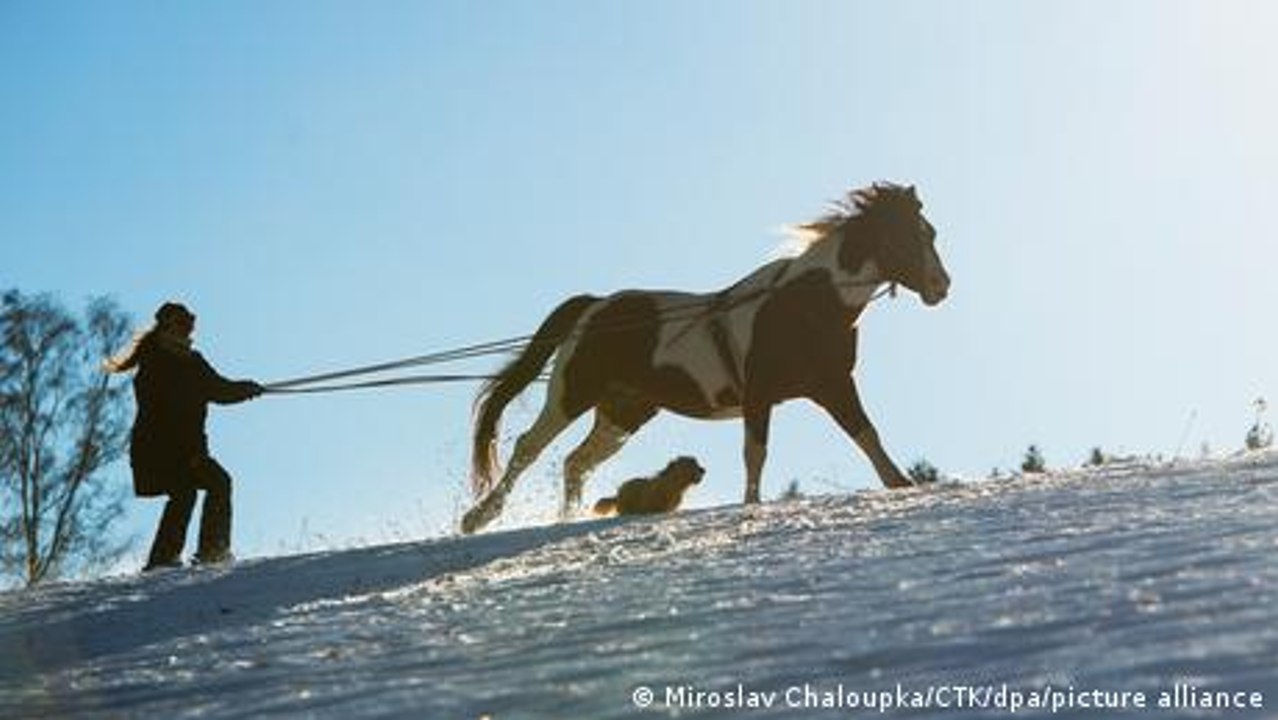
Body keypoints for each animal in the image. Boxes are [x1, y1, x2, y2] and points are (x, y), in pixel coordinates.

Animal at [461, 182, 950, 534]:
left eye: (930, 233)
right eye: (910, 236)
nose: (942, 286)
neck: (803, 302)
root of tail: (596, 306)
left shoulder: (832, 385)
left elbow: (866, 434)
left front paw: (900, 483)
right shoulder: (760, 394)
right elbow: (756, 453)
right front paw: (751, 507)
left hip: (624, 412)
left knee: (576, 463)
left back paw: (564, 521)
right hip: (573, 392)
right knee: (529, 448)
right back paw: (479, 517)